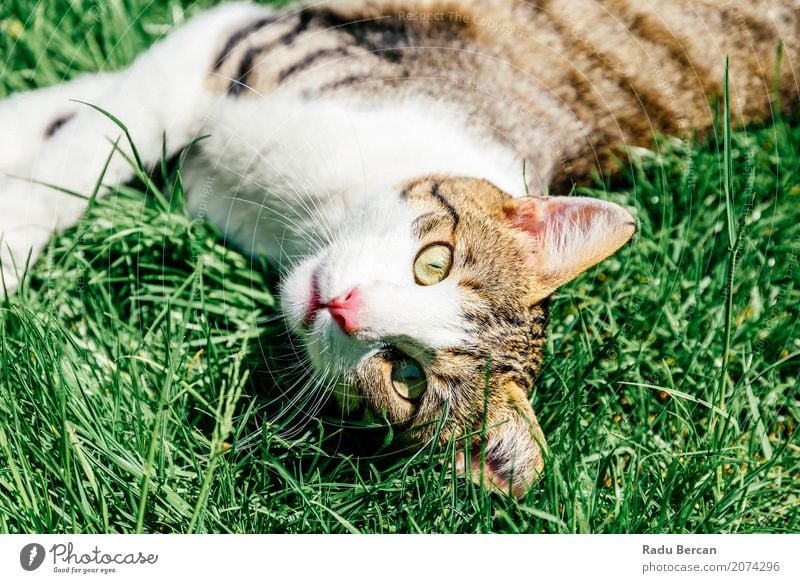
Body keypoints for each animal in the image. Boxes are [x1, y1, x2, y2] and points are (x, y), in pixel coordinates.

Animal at [0, 0, 796, 500]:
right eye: (433, 261)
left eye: (405, 377)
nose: (343, 307)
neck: (297, 223)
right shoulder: (249, 43)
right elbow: (88, 141)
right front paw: (17, 201)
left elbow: (88, 139)